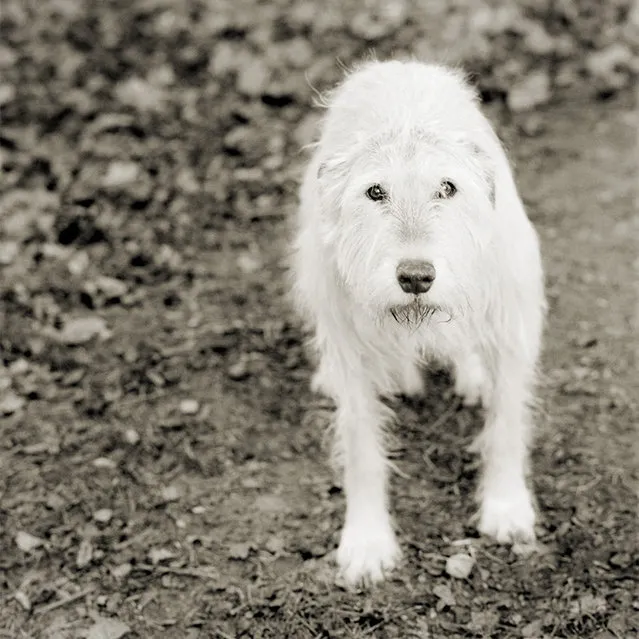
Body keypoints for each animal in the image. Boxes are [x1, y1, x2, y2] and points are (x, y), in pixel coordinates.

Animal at [290, 60, 544, 584]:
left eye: (447, 187)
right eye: (375, 192)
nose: (415, 277)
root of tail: (396, 63)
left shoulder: (512, 331)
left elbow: (507, 426)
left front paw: (506, 507)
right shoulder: (352, 356)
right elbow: (361, 446)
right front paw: (367, 540)